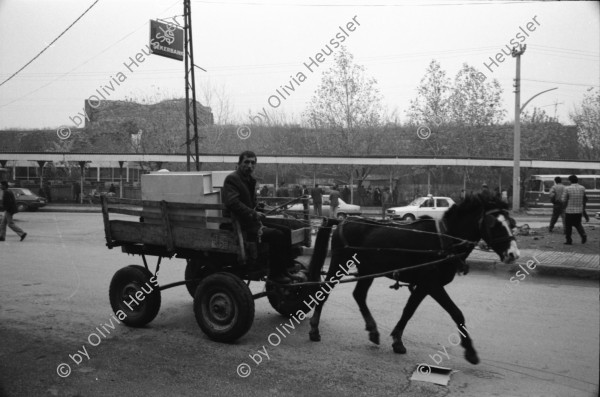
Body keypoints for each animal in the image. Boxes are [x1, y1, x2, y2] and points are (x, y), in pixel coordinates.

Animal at [308, 193, 516, 364]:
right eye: (495, 225)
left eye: (512, 223)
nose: (513, 254)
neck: (444, 240)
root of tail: (343, 221)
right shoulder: (432, 285)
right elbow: (457, 313)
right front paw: (470, 351)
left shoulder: (424, 286)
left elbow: (408, 310)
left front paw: (397, 340)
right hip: (339, 264)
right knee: (323, 292)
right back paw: (314, 329)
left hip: (368, 269)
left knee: (359, 295)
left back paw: (373, 331)